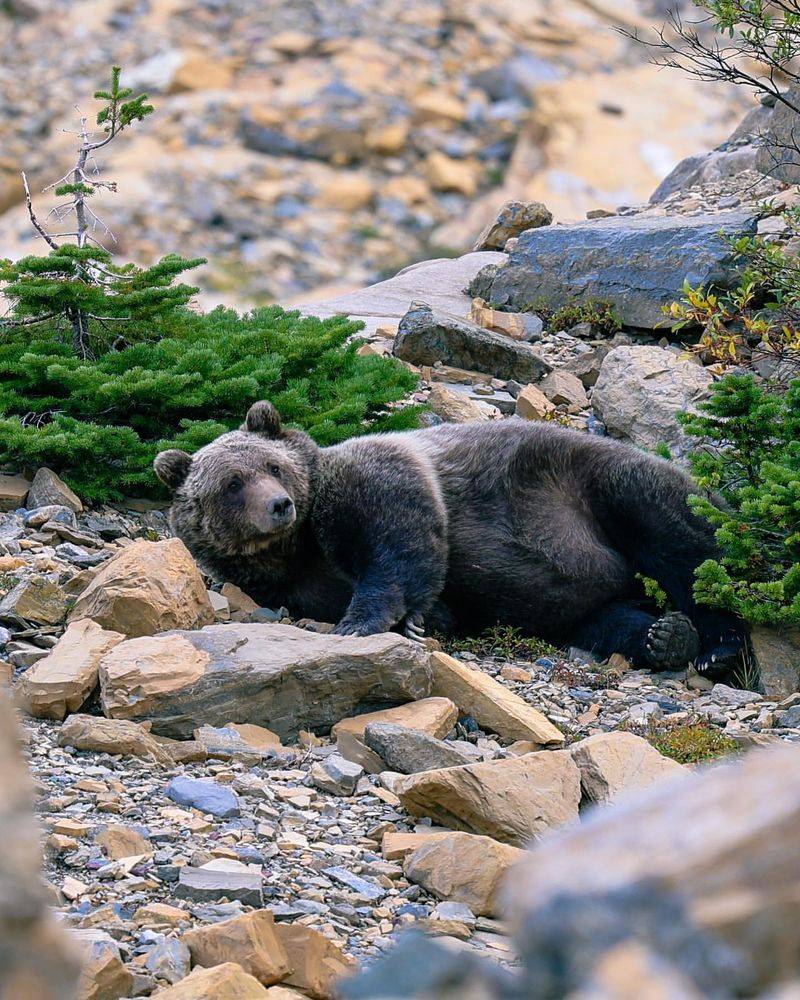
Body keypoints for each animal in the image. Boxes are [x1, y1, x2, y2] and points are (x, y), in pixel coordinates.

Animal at [155, 402, 744, 676]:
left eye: (272, 465)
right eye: (232, 485)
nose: (279, 505)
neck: (297, 548)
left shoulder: (371, 479)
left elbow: (399, 539)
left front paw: (369, 619)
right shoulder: (294, 586)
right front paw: (428, 618)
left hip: (584, 487)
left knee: (678, 541)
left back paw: (717, 645)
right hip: (581, 602)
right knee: (607, 618)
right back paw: (665, 637)